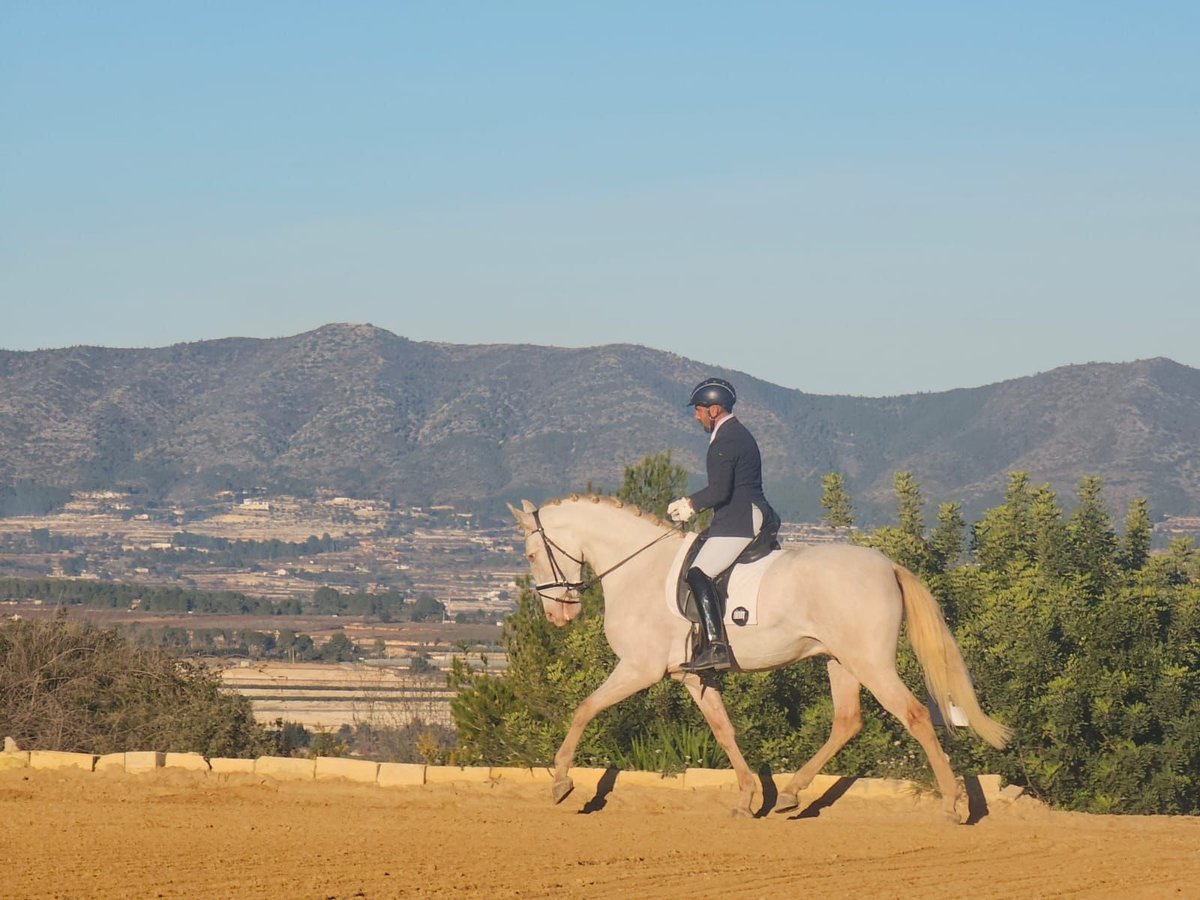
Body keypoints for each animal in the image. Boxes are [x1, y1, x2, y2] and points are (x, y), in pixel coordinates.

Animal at [508, 494, 1012, 825]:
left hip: (870, 662)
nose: (558, 616)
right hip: (840, 660)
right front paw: (748, 798)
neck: (638, 570)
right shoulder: (692, 677)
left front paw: (561, 783)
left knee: (914, 715)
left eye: (531, 554)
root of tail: (886, 565)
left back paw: (951, 805)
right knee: (847, 721)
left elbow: (584, 708)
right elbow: (724, 729)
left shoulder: (638, 668)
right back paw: (790, 795)